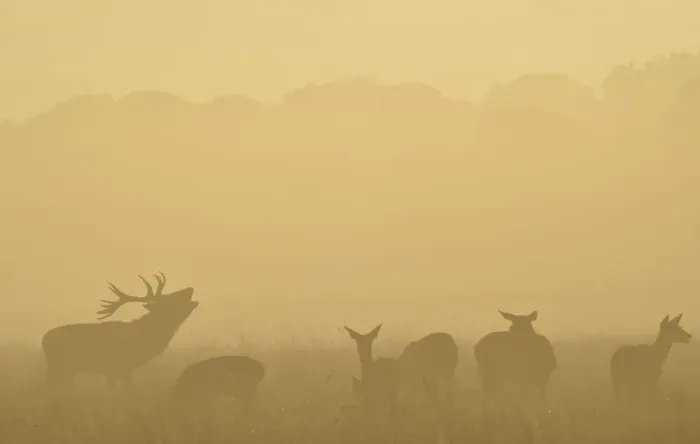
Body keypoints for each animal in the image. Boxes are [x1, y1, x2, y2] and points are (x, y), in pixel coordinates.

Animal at [42, 272, 198, 397]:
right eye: (169, 299)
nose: (190, 288)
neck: (144, 340)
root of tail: (43, 340)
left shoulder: (123, 370)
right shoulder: (117, 368)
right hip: (59, 365)